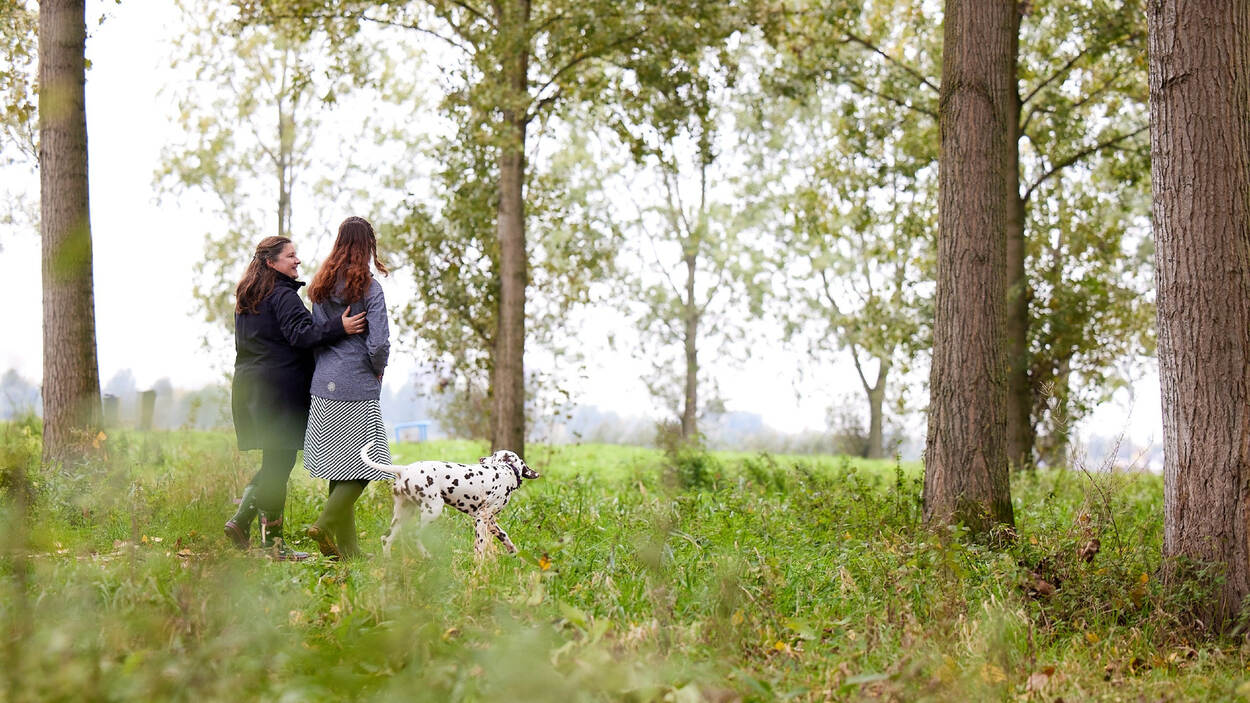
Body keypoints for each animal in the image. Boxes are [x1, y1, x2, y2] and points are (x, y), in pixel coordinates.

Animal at [360, 442, 540, 557]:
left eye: (494, 455)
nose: (481, 459)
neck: (507, 470)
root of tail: (404, 469)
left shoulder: (490, 521)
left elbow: (504, 535)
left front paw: (514, 552)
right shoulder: (481, 518)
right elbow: (479, 546)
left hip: (403, 514)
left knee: (386, 538)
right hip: (432, 510)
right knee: (413, 535)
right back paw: (427, 557)